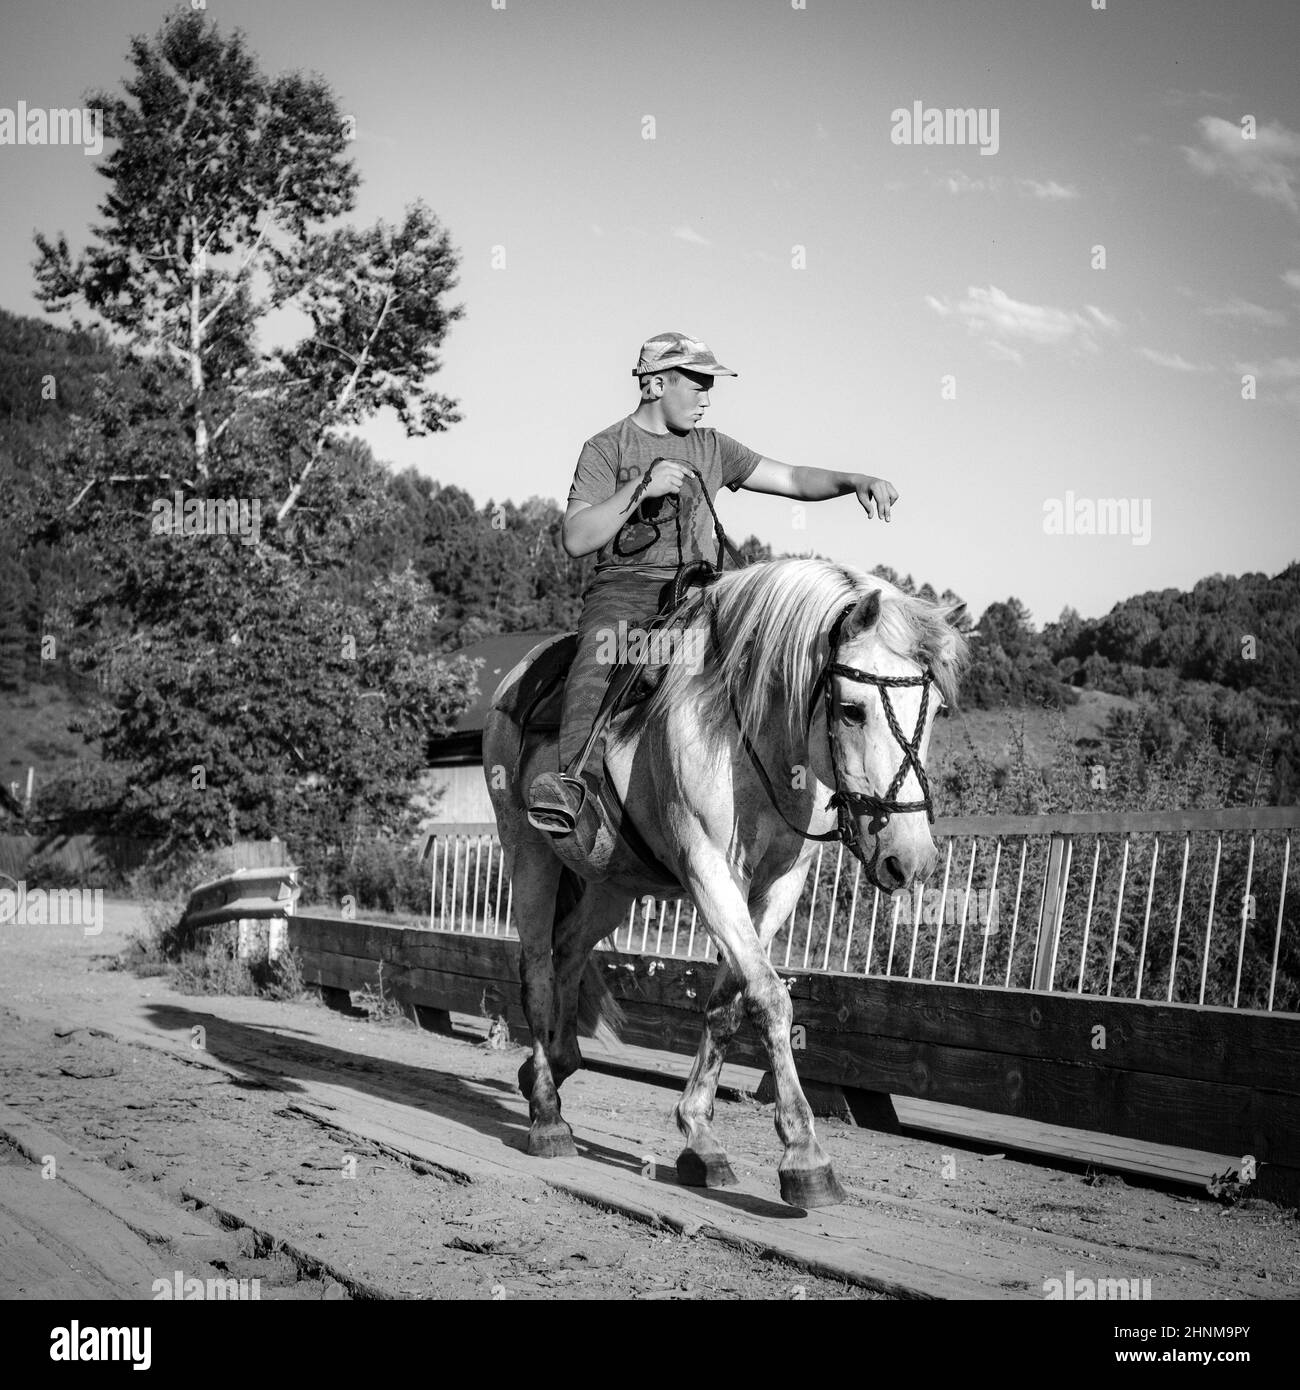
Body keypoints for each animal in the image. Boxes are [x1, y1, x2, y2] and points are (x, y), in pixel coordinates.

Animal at [486, 553, 967, 1206]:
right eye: (851, 709)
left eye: (936, 710)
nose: (910, 860)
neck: (748, 737)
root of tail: (517, 680)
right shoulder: (709, 870)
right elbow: (768, 996)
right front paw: (805, 1156)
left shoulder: (776, 889)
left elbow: (727, 1003)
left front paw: (700, 1137)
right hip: (529, 853)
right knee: (537, 969)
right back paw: (546, 1116)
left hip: (612, 884)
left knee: (567, 952)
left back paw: (554, 1065)